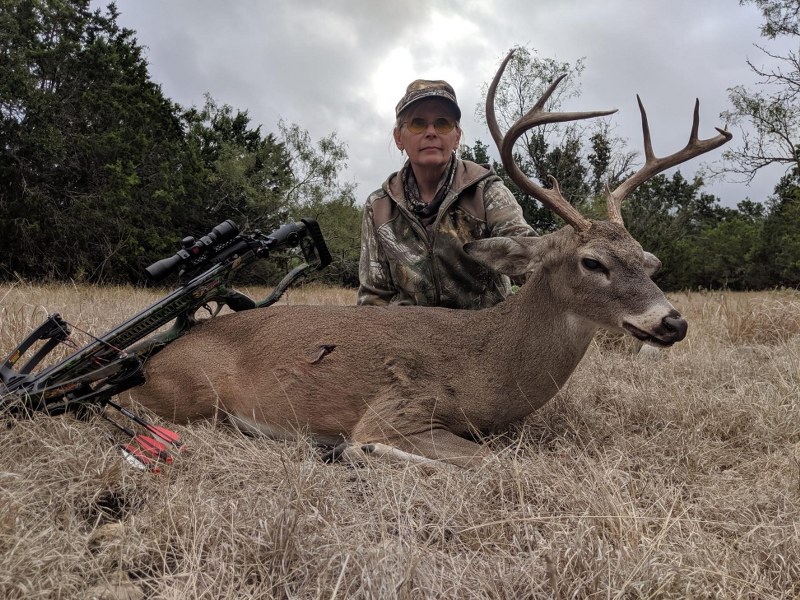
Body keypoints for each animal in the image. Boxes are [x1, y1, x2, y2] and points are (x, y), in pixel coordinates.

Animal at [127, 50, 732, 468]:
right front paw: (357, 451)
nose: (672, 322)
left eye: (650, 262)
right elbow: (490, 461)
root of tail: (148, 361)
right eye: (592, 263)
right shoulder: (396, 408)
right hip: (194, 396)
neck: (486, 367)